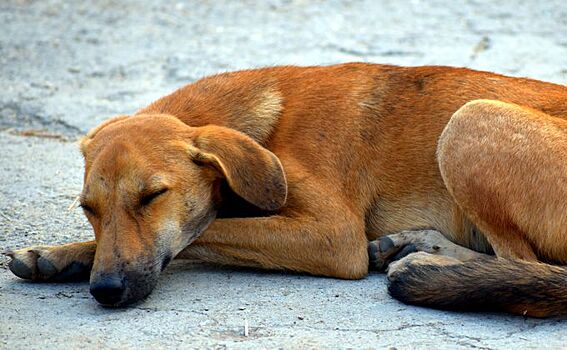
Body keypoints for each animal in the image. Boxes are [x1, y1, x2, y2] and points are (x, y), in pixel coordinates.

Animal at [4, 63, 567, 318]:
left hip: (470, 121)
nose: (105, 290)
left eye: (152, 197)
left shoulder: (334, 237)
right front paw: (57, 255)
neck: (267, 128)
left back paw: (435, 266)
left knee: (527, 264)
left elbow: (206, 231)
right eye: (89, 209)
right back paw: (418, 247)